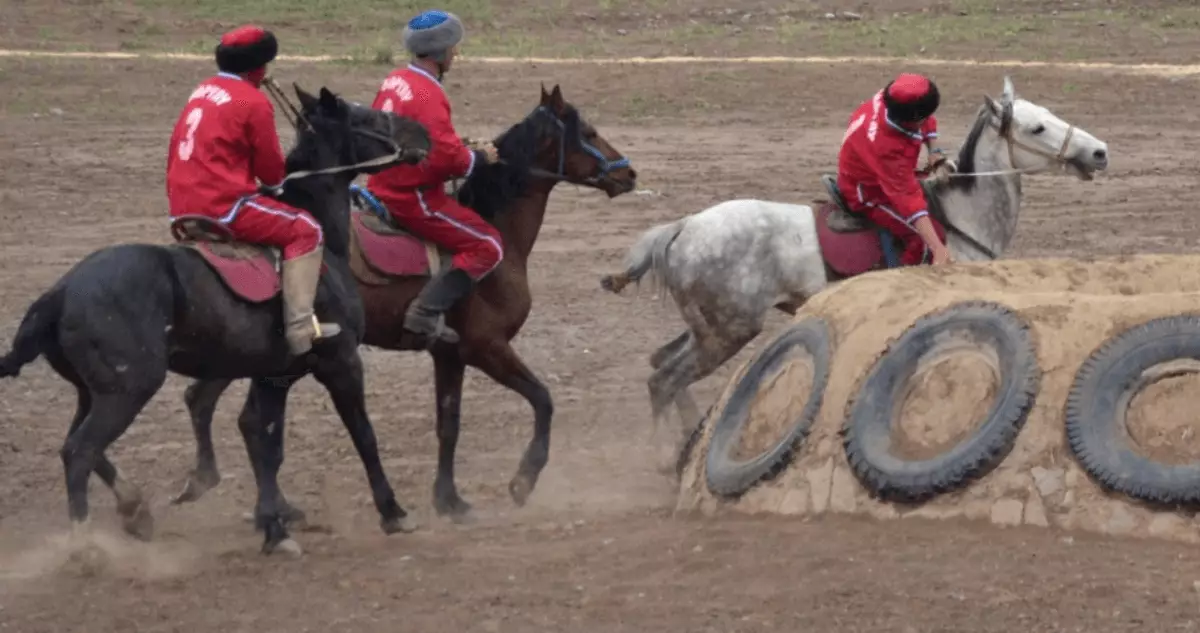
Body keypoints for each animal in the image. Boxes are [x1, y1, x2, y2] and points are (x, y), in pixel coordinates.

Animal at [0, 83, 432, 553]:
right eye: (367, 117)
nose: (423, 134)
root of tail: (60, 292)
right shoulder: (341, 362)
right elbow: (361, 434)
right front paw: (393, 512)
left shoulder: (274, 375)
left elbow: (265, 441)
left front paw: (273, 526)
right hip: (128, 389)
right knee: (80, 452)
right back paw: (86, 546)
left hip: (93, 391)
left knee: (76, 447)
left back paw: (134, 508)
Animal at [175, 83, 638, 522]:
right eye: (589, 132)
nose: (629, 173)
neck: (498, 235)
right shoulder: (487, 348)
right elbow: (543, 400)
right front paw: (523, 480)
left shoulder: (449, 356)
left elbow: (448, 425)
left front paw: (449, 500)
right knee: (235, 414)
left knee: (210, 403)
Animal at [604, 76, 1108, 467]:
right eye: (1036, 127)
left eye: (1049, 112)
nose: (1099, 152)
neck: (961, 218)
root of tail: (683, 227)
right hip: (727, 331)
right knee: (663, 379)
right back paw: (663, 458)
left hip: (706, 329)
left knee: (662, 366)